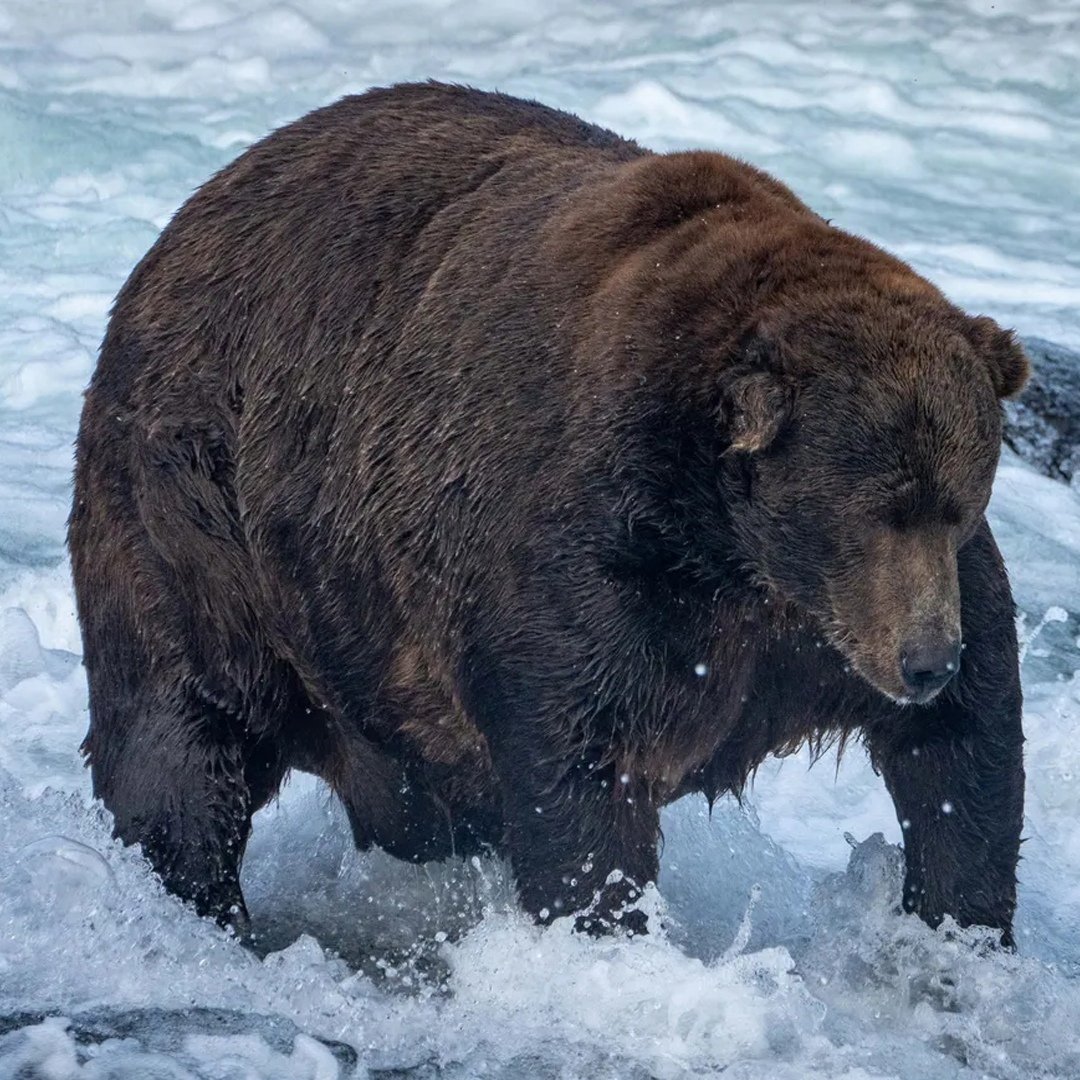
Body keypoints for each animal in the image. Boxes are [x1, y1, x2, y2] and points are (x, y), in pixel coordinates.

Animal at [69, 81, 1029, 945]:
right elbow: (582, 765)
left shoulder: (825, 624)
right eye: (873, 511)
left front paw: (958, 931)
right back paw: (203, 908)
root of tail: (185, 220)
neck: (730, 545)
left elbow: (967, 747)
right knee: (183, 733)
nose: (924, 661)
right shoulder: (594, 562)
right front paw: (608, 932)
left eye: (957, 502)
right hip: (200, 520)